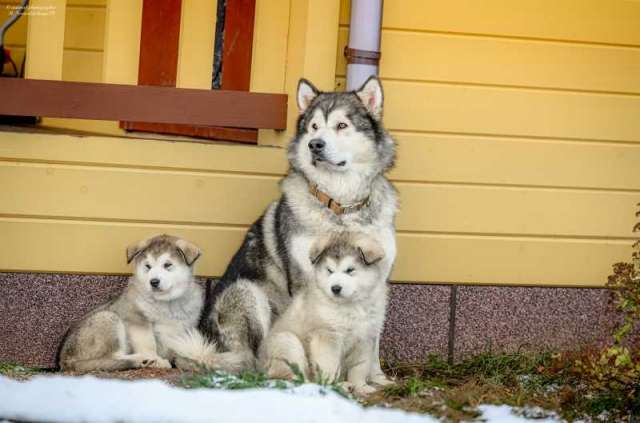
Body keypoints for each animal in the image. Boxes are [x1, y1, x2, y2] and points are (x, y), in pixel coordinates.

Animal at [59, 235, 204, 372]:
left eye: (167, 265)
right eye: (148, 266)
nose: (154, 282)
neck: (166, 302)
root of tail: (66, 362)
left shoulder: (183, 328)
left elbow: (181, 349)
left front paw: (192, 363)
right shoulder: (136, 318)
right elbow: (148, 343)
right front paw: (156, 360)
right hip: (107, 317)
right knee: (112, 357)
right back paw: (142, 359)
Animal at [258, 232, 388, 398]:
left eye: (350, 270)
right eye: (329, 270)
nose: (335, 288)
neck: (351, 305)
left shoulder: (365, 338)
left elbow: (359, 368)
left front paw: (361, 387)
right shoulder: (327, 336)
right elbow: (329, 365)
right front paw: (333, 386)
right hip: (287, 341)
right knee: (289, 376)